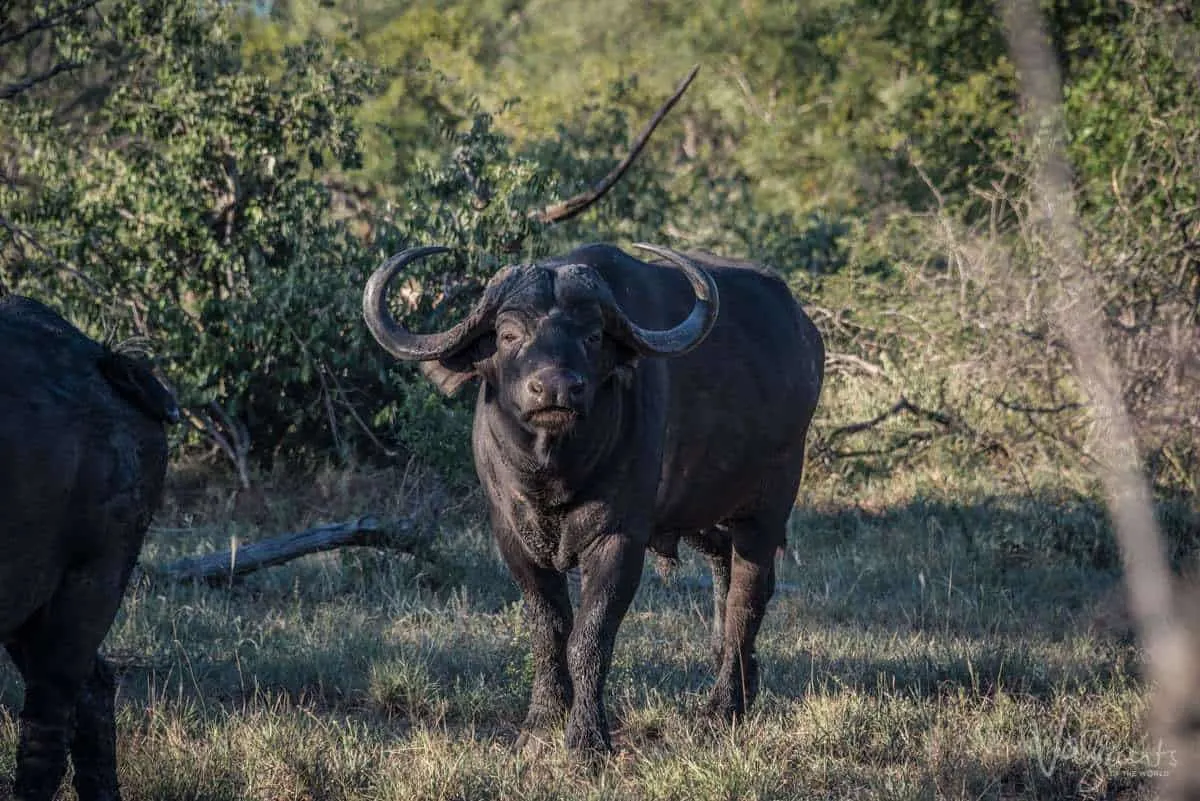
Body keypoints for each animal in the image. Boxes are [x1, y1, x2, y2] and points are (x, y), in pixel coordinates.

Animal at [362, 241, 825, 753]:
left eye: (593, 336)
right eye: (507, 335)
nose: (556, 388)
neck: (554, 473)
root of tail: (806, 334)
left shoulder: (618, 541)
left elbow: (590, 636)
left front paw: (586, 738)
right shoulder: (511, 538)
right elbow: (548, 628)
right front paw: (542, 719)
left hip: (768, 505)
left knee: (748, 594)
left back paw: (724, 706)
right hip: (705, 513)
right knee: (725, 575)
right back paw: (741, 681)